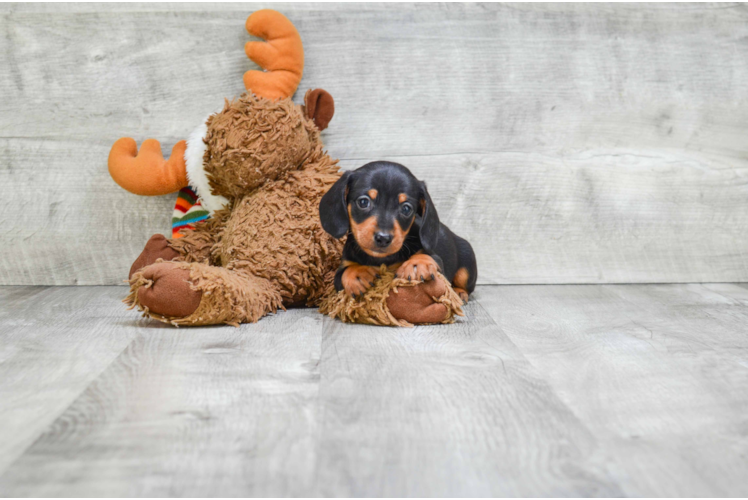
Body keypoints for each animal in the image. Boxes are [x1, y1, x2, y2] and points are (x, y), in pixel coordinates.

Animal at [318, 161, 476, 300]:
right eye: (363, 202)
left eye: (406, 208)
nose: (383, 238)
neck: (381, 259)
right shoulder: (340, 272)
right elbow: (345, 272)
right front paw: (358, 274)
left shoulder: (439, 264)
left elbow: (429, 257)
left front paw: (417, 264)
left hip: (466, 268)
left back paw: (460, 292)